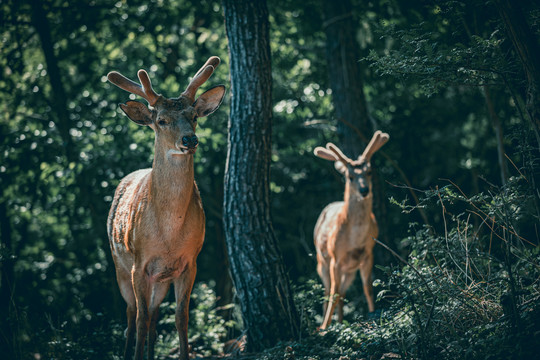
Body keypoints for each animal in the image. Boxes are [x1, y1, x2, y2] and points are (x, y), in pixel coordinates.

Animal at [106, 57, 225, 360]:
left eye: (194, 116)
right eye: (161, 120)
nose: (189, 140)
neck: (169, 232)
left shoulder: (190, 262)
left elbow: (181, 317)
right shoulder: (139, 263)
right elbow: (139, 319)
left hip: (160, 280)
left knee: (154, 316)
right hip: (120, 266)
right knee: (132, 313)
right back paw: (128, 351)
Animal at [312, 131, 388, 330]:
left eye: (369, 172)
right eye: (350, 176)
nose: (364, 190)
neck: (355, 238)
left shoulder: (368, 253)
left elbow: (368, 288)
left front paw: (373, 316)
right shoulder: (335, 259)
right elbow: (332, 293)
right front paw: (324, 328)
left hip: (350, 270)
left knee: (342, 293)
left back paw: (339, 322)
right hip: (321, 263)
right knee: (328, 291)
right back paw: (324, 325)